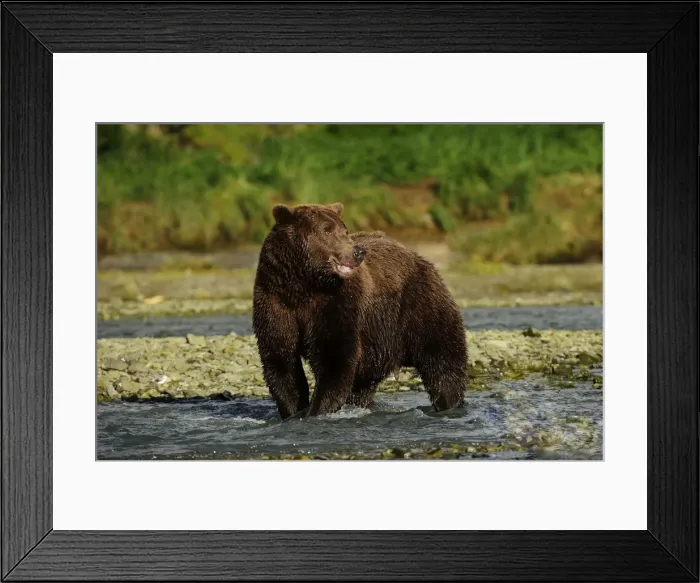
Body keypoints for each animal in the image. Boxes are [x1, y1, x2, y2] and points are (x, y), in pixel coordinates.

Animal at [252, 202, 467, 419]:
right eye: (326, 229)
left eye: (344, 230)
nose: (357, 252)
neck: (304, 286)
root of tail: (418, 257)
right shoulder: (276, 301)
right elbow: (281, 360)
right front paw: (293, 412)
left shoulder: (336, 304)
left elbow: (334, 359)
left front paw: (317, 410)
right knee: (362, 385)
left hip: (419, 309)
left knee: (443, 364)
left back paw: (449, 403)